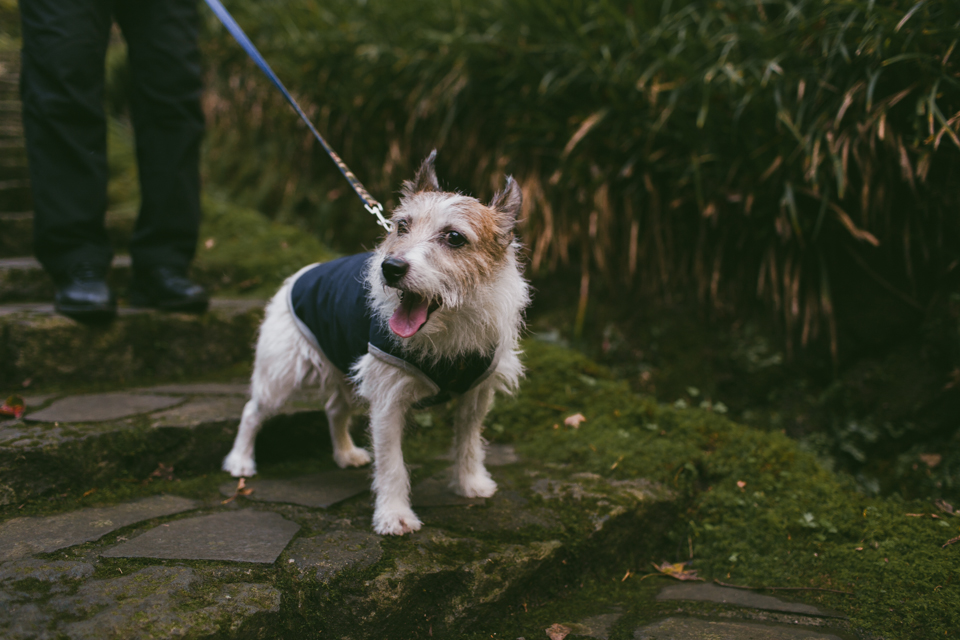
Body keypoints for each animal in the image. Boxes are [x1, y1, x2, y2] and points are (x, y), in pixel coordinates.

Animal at [221, 152, 528, 536]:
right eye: (401, 226)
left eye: (455, 237)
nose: (390, 267)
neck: (447, 331)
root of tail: (298, 274)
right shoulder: (387, 402)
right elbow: (392, 464)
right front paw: (394, 514)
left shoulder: (475, 396)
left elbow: (469, 443)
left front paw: (470, 483)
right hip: (280, 375)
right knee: (252, 411)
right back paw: (240, 461)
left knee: (334, 409)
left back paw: (345, 453)